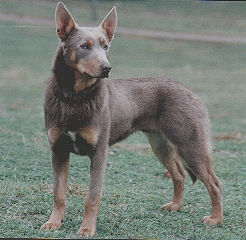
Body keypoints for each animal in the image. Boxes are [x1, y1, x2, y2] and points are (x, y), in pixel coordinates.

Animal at [41, 1, 223, 237]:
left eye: (105, 47)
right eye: (84, 46)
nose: (107, 68)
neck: (74, 98)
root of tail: (189, 91)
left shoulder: (99, 153)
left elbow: (92, 197)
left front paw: (87, 228)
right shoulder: (58, 150)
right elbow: (59, 194)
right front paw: (54, 222)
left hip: (190, 147)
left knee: (214, 183)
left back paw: (216, 219)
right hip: (161, 146)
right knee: (179, 174)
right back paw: (176, 205)